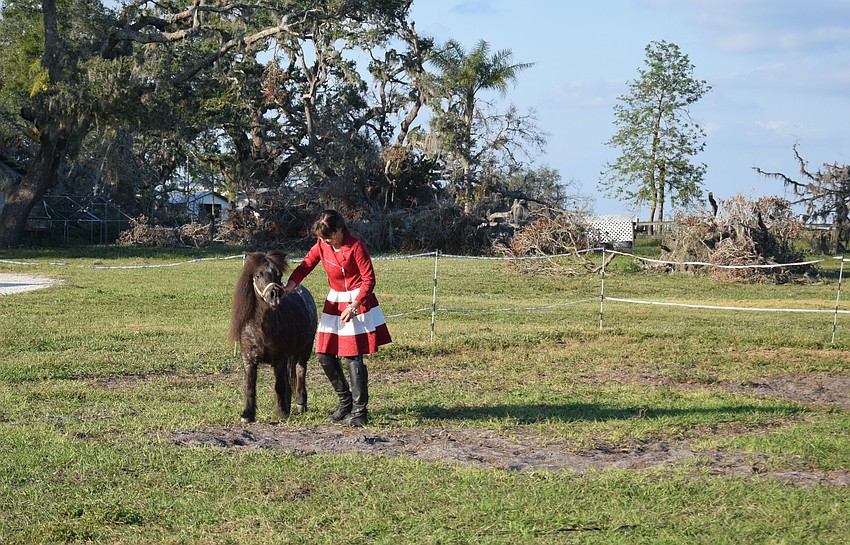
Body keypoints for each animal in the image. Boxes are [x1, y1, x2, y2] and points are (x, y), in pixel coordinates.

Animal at [228, 250, 317, 423]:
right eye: (258, 275)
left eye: (279, 274)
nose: (275, 295)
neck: (261, 328)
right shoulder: (248, 359)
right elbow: (250, 386)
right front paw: (247, 415)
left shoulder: (280, 358)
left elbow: (279, 386)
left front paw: (281, 413)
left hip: (304, 350)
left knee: (300, 372)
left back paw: (300, 404)